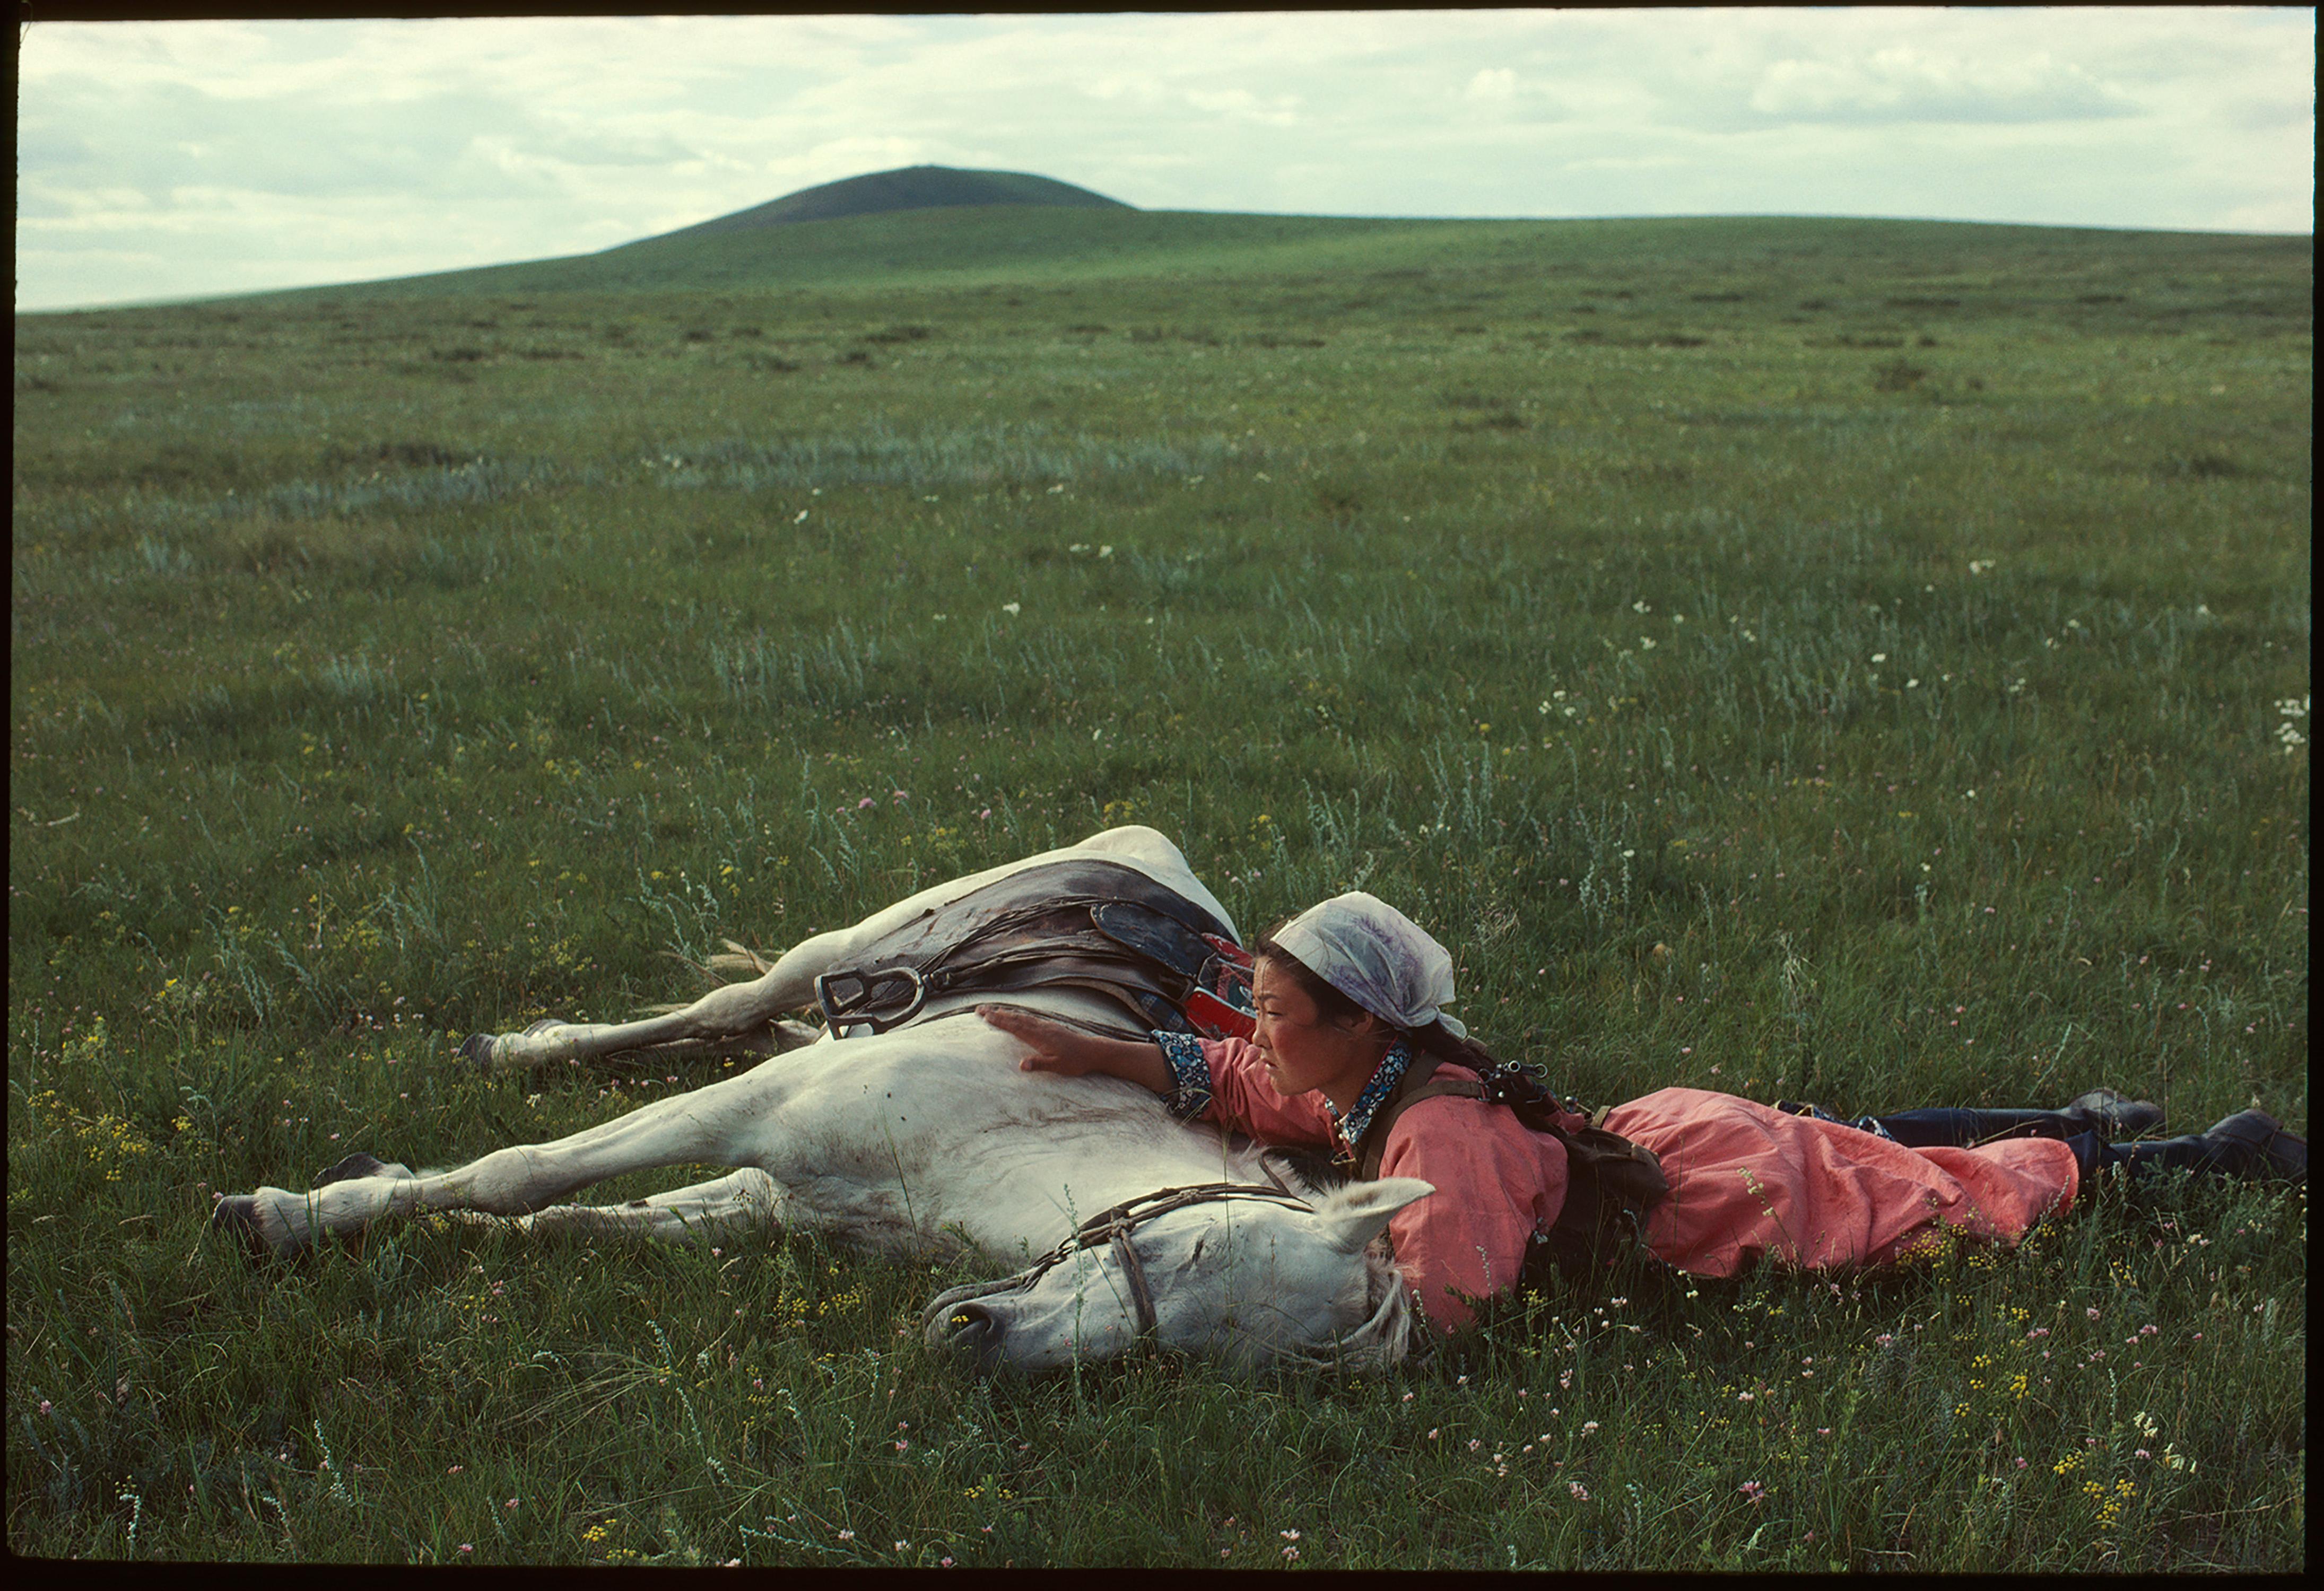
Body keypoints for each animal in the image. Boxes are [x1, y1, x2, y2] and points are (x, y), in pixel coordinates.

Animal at [211, 825, 1430, 1374]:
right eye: (1189, 1250)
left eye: (1186, 1355)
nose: (976, 1337)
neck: (1004, 1136)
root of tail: (1155, 861)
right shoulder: (745, 1112)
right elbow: (525, 1173)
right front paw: (284, 1215)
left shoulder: (773, 1194)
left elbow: (586, 1219)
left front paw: (400, 1205)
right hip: (838, 950)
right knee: (728, 1006)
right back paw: (516, 1048)